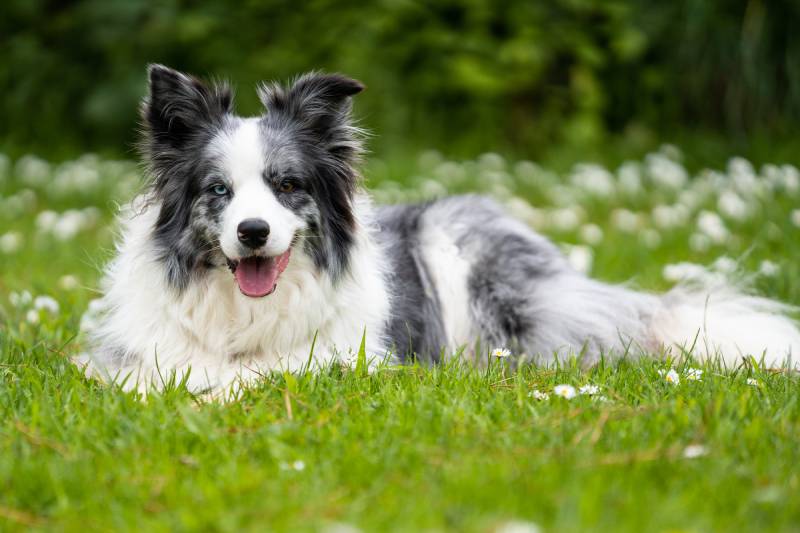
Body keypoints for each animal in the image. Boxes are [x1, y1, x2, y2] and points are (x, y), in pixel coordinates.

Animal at [79, 65, 800, 390]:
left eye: (287, 186)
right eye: (218, 191)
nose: (253, 232)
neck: (242, 318)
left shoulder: (345, 358)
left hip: (464, 258)